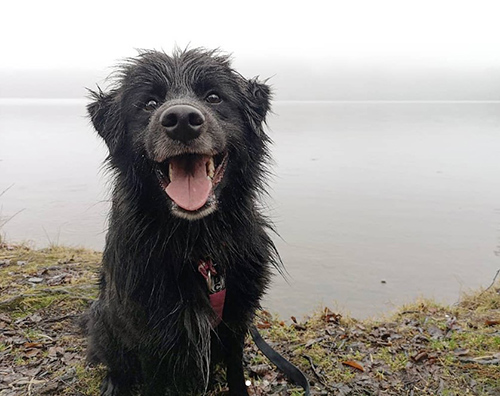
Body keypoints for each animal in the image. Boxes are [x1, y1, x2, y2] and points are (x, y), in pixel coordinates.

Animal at [87, 50, 282, 396]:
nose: (181, 121)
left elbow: (235, 367)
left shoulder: (236, 318)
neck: (197, 242)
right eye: (149, 103)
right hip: (103, 318)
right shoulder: (147, 333)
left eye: (214, 97)